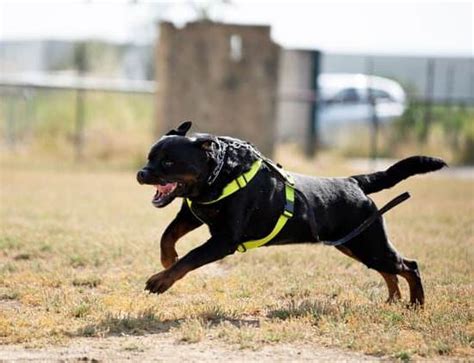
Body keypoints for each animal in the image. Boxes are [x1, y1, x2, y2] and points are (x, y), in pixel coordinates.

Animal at [136, 121, 444, 306]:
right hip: (356, 245)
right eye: (150, 157)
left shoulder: (224, 240)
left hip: (369, 244)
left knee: (409, 266)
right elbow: (168, 235)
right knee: (390, 271)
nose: (141, 173)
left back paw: (416, 304)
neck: (219, 175)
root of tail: (354, 182)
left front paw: (161, 280)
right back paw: (394, 300)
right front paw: (167, 259)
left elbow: (191, 257)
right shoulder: (192, 215)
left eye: (168, 162)